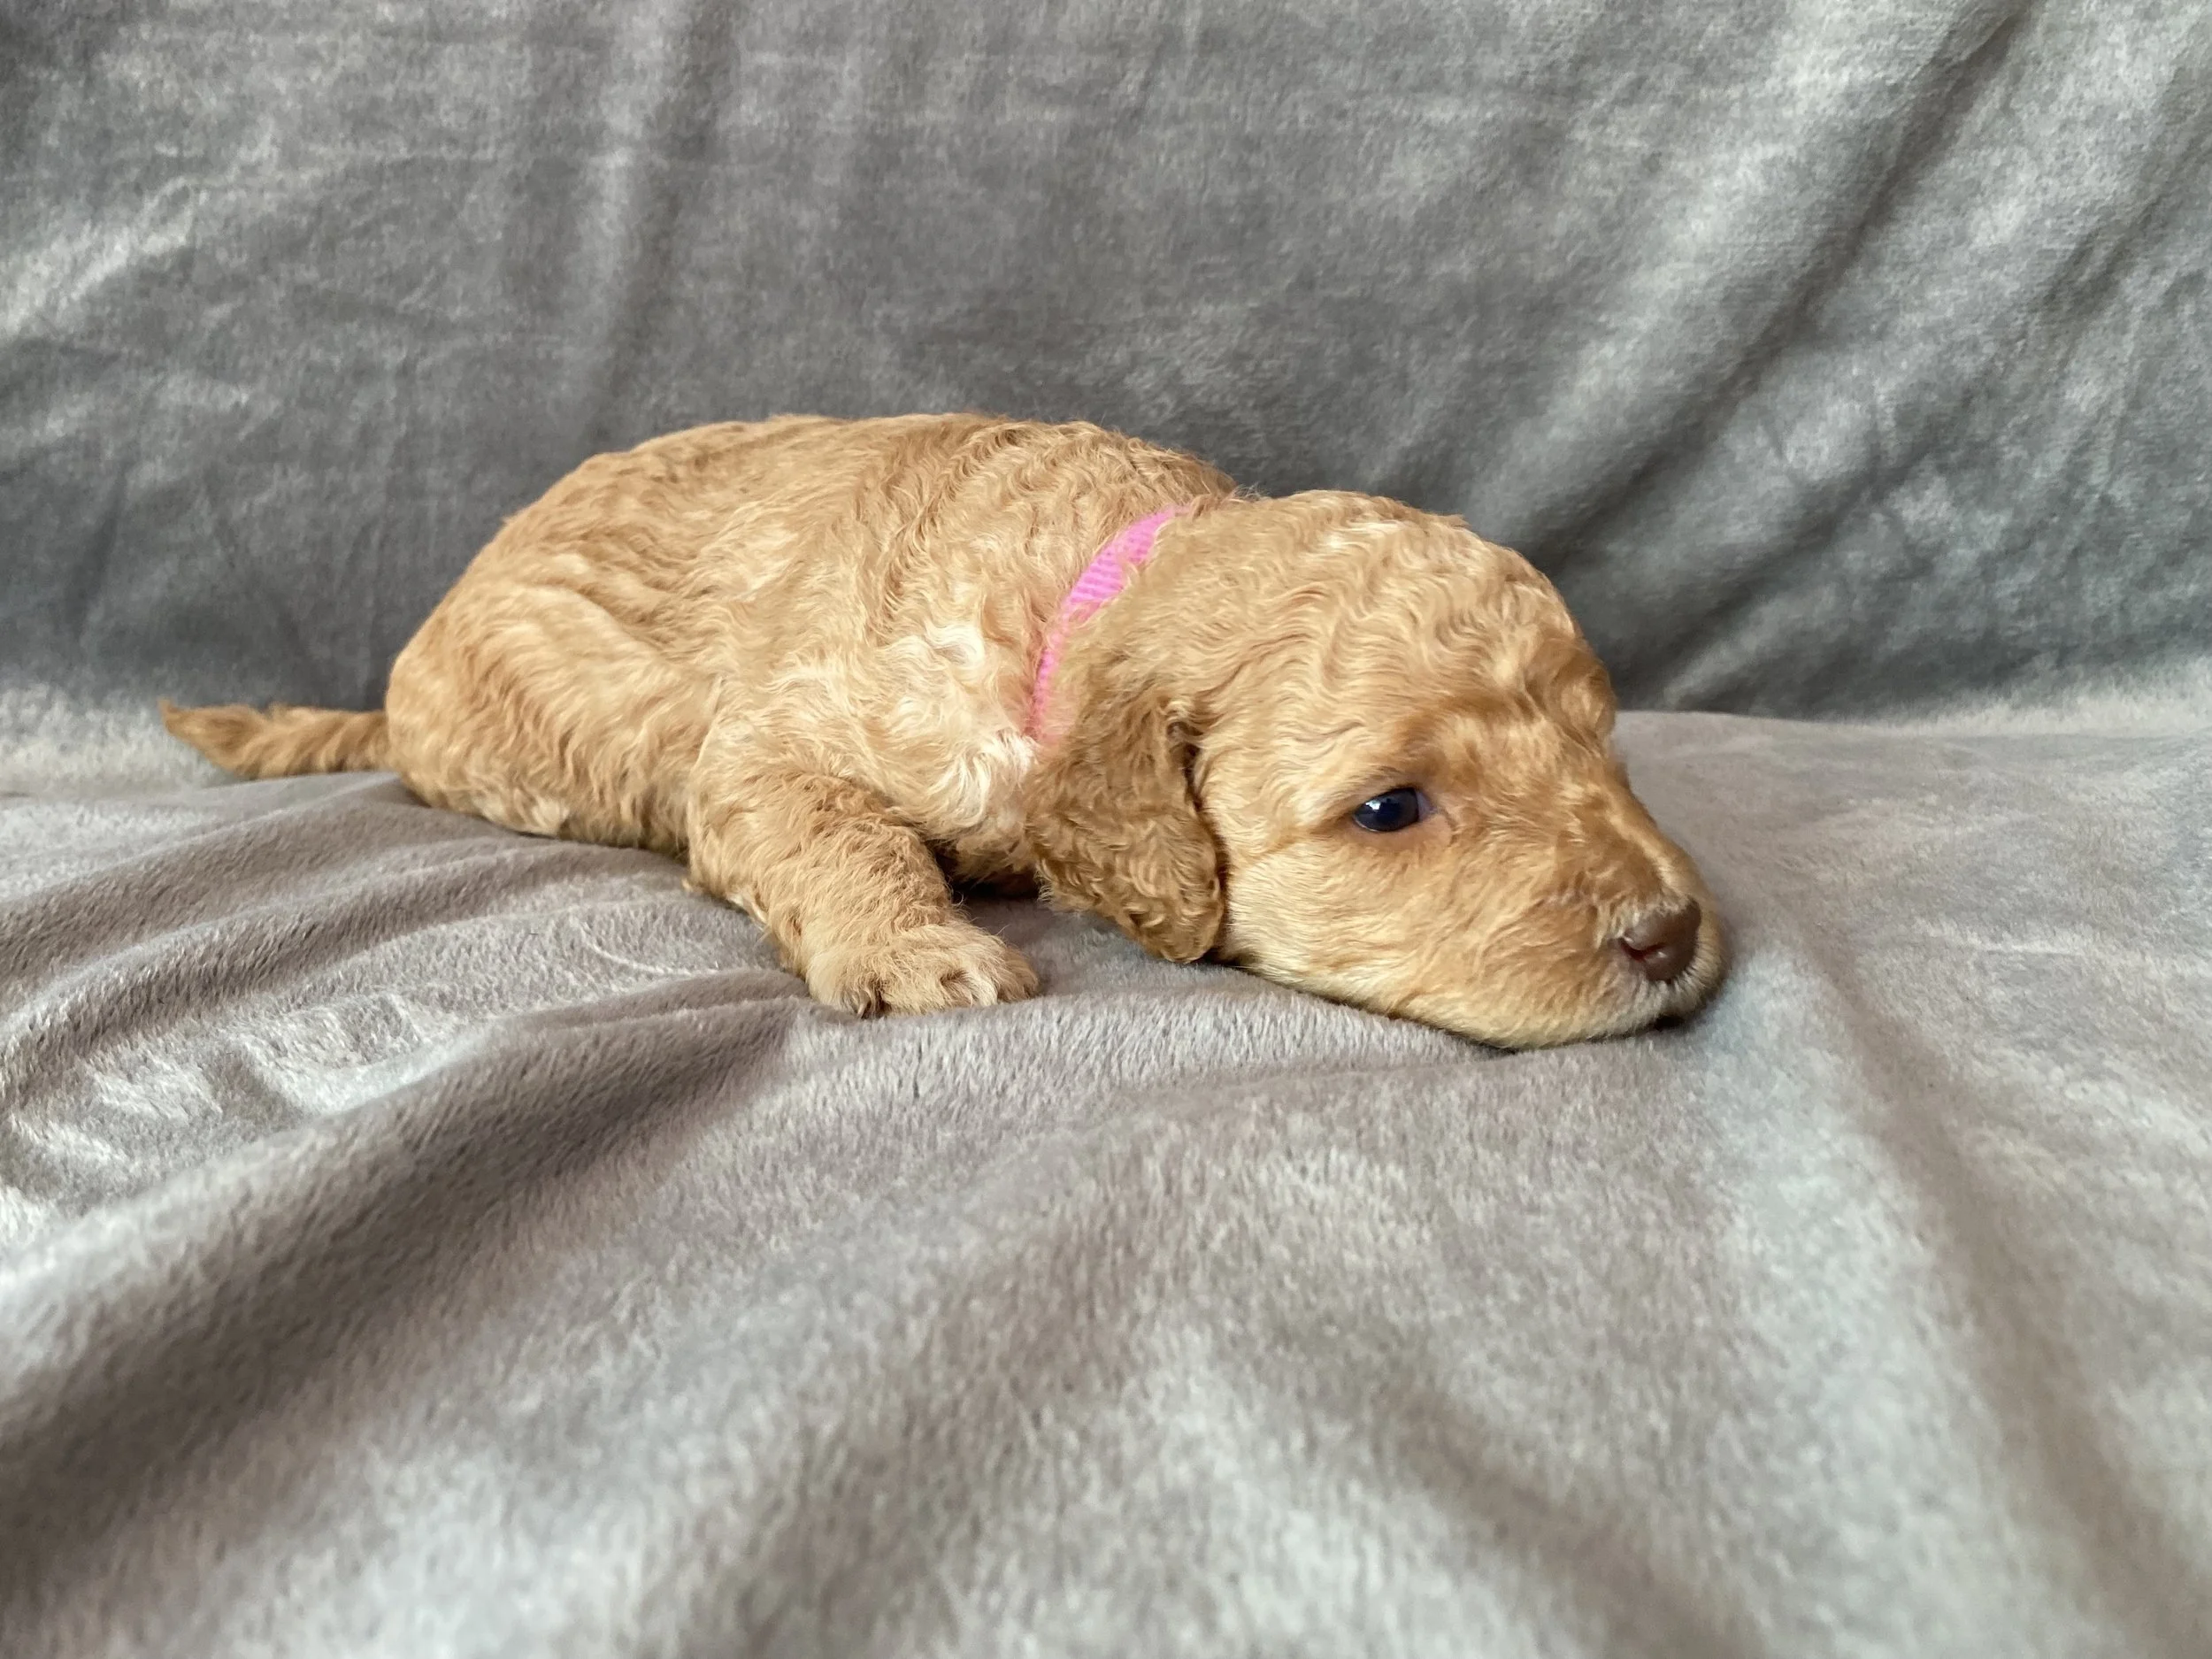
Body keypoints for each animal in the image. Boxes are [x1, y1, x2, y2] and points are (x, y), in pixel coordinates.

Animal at [164, 413, 1725, 1046]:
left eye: (1602, 741)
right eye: (1393, 807)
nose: (1670, 933)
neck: (1095, 583)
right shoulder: (777, 742)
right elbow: (825, 823)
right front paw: (916, 947)